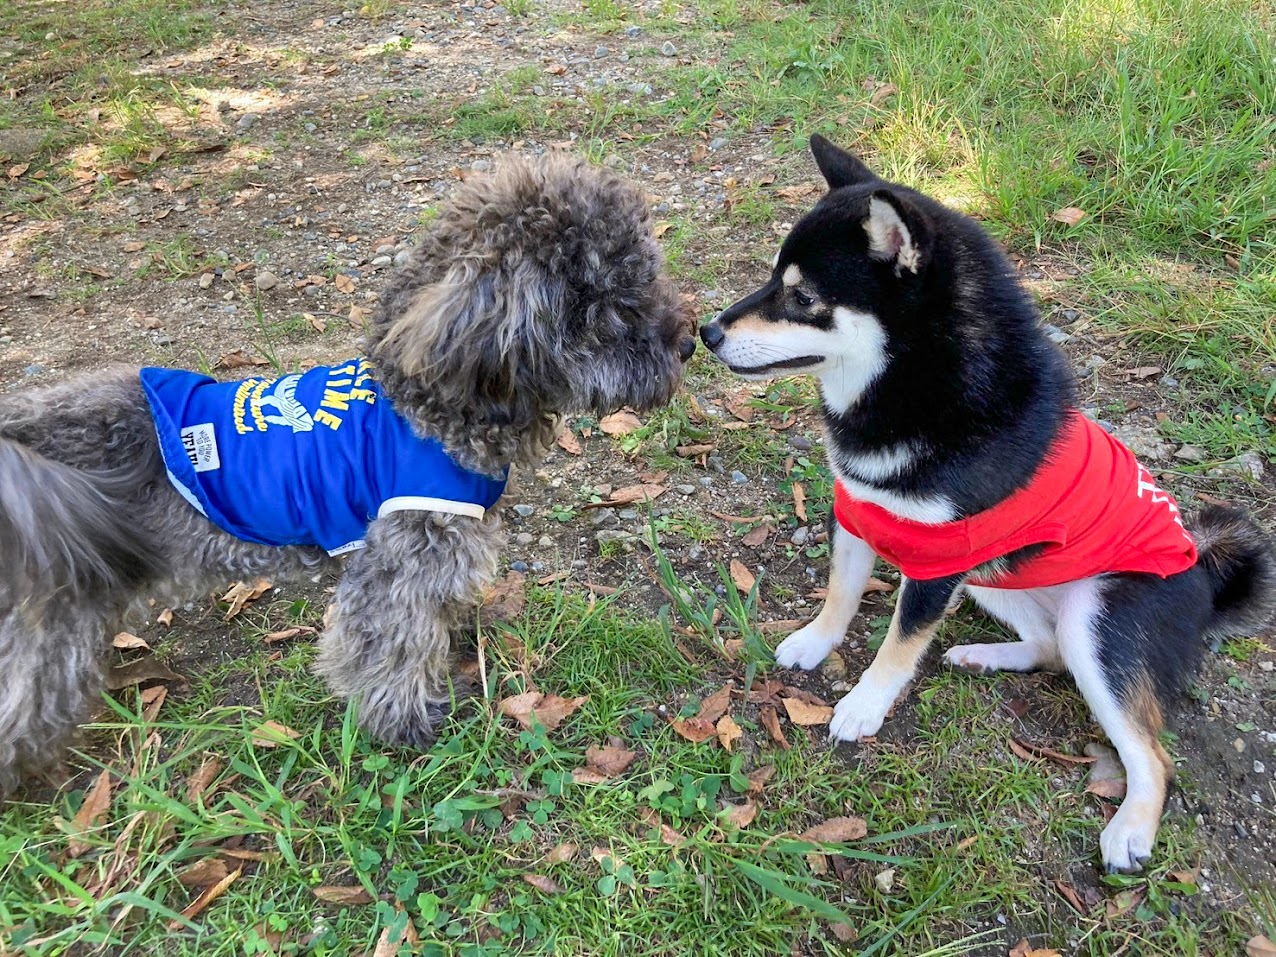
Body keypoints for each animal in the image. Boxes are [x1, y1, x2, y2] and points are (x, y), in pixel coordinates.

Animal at [0, 155, 694, 796]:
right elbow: (390, 647)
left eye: (646, 275)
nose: (686, 343)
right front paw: (403, 722)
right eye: (603, 305)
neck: (425, 405)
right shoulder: (400, 557)